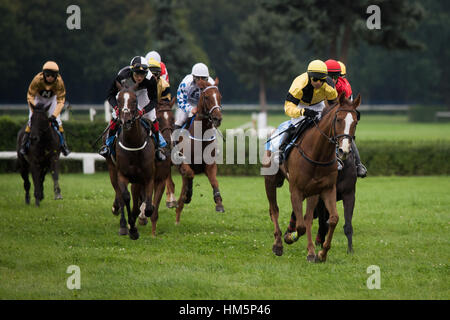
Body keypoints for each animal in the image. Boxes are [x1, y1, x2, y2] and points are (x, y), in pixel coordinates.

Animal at [105, 82, 156, 240]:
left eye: (134, 100)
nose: (126, 120)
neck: (133, 144)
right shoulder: (122, 174)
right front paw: (132, 228)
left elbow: (148, 206)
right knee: (120, 195)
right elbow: (125, 197)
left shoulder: (147, 177)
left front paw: (138, 218)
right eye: (119, 100)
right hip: (112, 170)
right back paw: (122, 224)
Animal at [174, 77, 223, 225]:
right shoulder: (184, 164)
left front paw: (219, 203)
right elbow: (190, 174)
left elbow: (214, 181)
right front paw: (188, 194)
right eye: (206, 97)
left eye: (220, 97)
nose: (217, 118)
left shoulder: (210, 165)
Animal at [262, 93, 360, 262]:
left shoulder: (327, 189)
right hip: (270, 180)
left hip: (312, 192)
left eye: (355, 121)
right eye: (338, 119)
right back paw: (278, 244)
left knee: (306, 217)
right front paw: (290, 238)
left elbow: (331, 219)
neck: (318, 153)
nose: (344, 150)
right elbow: (301, 225)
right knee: (274, 210)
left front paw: (320, 253)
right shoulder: (296, 190)